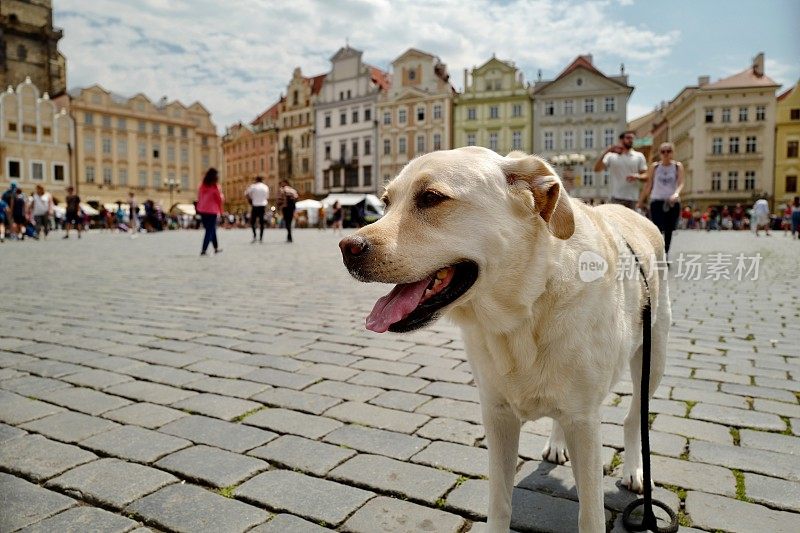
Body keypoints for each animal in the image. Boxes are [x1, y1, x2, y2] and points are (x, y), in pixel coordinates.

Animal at [338, 145, 668, 532]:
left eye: (431, 197)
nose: (346, 247)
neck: (520, 317)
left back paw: (633, 470)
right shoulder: (497, 416)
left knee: (633, 419)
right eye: (386, 202)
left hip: (652, 361)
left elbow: (590, 516)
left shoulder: (585, 420)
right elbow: (499, 504)